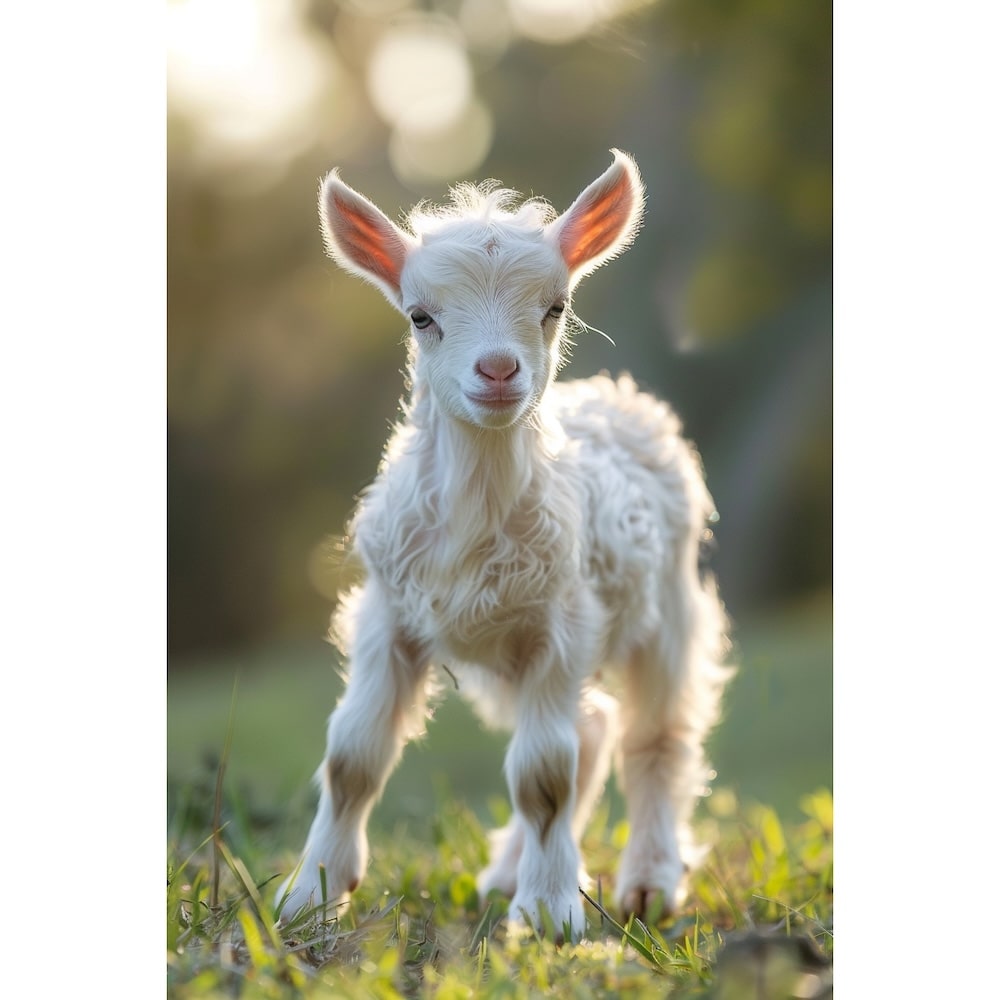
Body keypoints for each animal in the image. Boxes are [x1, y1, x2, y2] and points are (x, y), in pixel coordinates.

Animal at [276, 151, 732, 941]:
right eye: (420, 316)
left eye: (555, 307)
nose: (496, 370)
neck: (476, 514)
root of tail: (618, 394)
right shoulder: (388, 615)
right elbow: (353, 759)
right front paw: (311, 898)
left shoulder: (561, 622)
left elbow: (542, 774)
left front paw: (549, 915)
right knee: (595, 728)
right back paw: (507, 872)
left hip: (668, 607)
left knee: (653, 739)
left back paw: (646, 884)